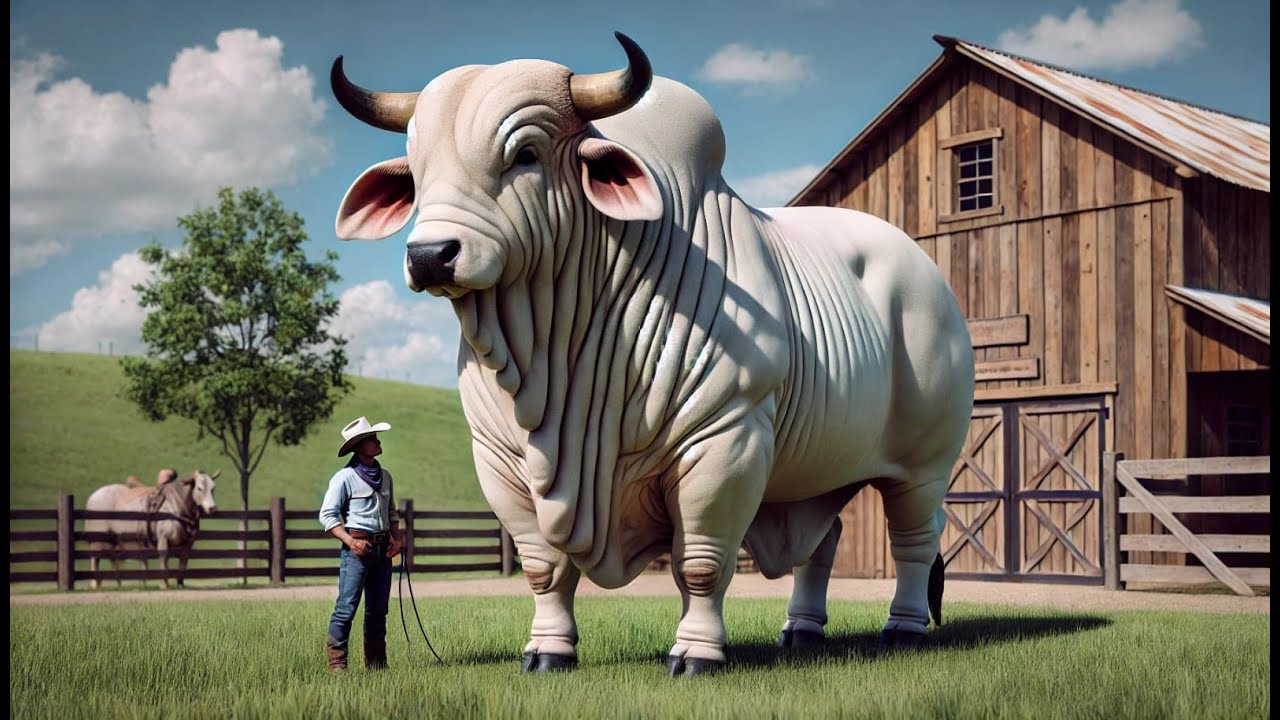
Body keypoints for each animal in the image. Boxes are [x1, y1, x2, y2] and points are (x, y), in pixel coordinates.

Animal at [85, 470, 219, 589]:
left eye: (213, 488)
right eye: (199, 488)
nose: (212, 508)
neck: (176, 507)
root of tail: (92, 497)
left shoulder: (188, 545)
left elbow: (183, 564)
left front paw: (180, 584)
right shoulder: (163, 540)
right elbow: (164, 561)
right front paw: (164, 585)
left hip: (113, 541)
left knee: (113, 561)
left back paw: (117, 584)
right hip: (98, 540)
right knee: (95, 560)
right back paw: (95, 584)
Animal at [331, 33, 975, 675]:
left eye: (526, 154)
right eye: (416, 170)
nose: (429, 255)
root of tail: (930, 275)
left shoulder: (726, 439)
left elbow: (701, 564)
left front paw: (696, 653)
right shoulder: (498, 462)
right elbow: (545, 568)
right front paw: (547, 650)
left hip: (926, 464)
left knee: (916, 541)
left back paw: (903, 629)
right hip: (814, 474)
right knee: (824, 543)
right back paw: (801, 631)